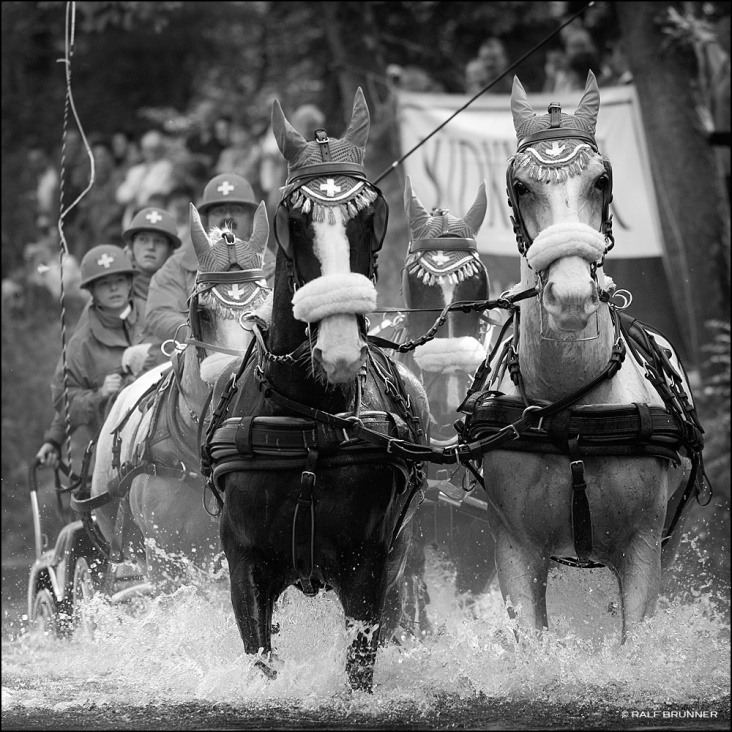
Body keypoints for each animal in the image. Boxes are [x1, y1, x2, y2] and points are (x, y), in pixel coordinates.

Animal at [202, 87, 428, 692]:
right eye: (293, 220)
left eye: (372, 218)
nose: (340, 350)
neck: (308, 421)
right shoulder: (245, 566)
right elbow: (262, 661)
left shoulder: (367, 567)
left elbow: (359, 665)